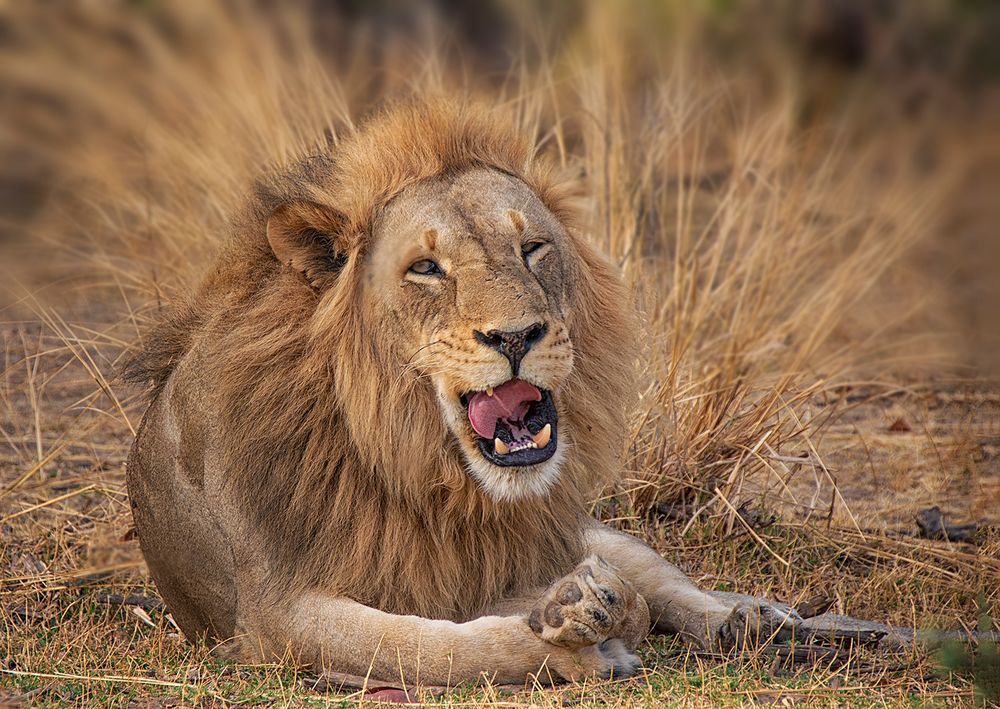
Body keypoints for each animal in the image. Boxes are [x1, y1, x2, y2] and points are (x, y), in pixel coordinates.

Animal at [123, 98, 796, 680]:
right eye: (425, 268)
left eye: (533, 248)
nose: (516, 335)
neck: (407, 456)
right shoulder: (274, 613)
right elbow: (429, 648)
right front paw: (571, 638)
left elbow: (628, 597)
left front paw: (585, 610)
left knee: (661, 577)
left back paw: (750, 615)